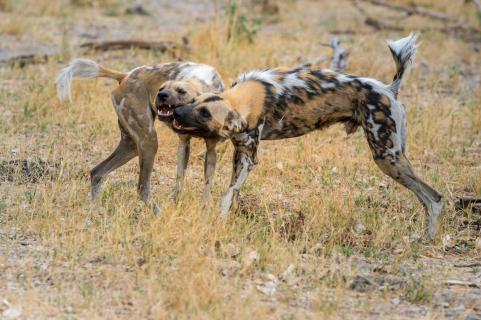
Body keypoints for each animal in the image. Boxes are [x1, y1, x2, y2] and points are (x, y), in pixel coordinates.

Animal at [55, 59, 224, 212]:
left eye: (181, 91)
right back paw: (158, 214)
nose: (161, 95)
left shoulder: (206, 149)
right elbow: (179, 182)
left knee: (97, 173)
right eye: (161, 88)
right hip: (149, 141)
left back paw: (95, 211)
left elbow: (204, 185)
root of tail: (125, 75)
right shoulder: (184, 143)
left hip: (132, 146)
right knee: (142, 189)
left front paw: (200, 209)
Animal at [169, 33, 442, 238]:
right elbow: (233, 192)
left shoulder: (249, 159)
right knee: (430, 197)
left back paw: (427, 239)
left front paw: (218, 221)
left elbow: (227, 195)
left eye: (204, 113)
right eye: (193, 102)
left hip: (387, 157)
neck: (249, 97)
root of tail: (388, 88)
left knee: (433, 197)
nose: (178, 112)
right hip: (394, 155)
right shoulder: (240, 154)